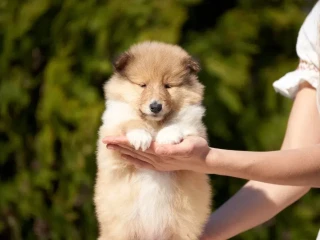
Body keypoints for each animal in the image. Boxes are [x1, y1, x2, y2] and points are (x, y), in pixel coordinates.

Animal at [94, 41, 212, 240]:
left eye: (168, 86)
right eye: (143, 85)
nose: (155, 106)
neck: (155, 124)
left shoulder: (196, 128)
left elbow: (179, 123)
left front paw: (167, 136)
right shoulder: (112, 131)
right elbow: (129, 121)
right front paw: (140, 136)